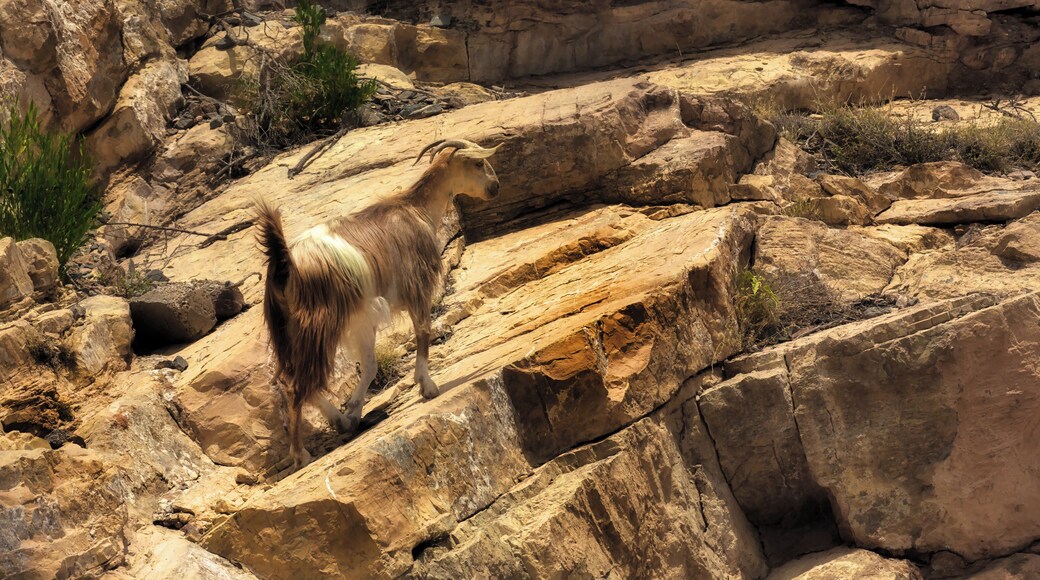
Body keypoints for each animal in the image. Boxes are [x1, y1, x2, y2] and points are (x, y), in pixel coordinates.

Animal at [256, 139, 501, 469]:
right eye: (477, 162)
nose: (495, 187)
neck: (415, 210)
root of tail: (285, 265)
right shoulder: (415, 287)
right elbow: (422, 333)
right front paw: (427, 386)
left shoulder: (365, 316)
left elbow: (370, 364)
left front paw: (353, 411)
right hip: (321, 324)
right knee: (300, 383)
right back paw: (301, 453)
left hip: (287, 329)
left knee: (290, 380)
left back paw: (337, 422)